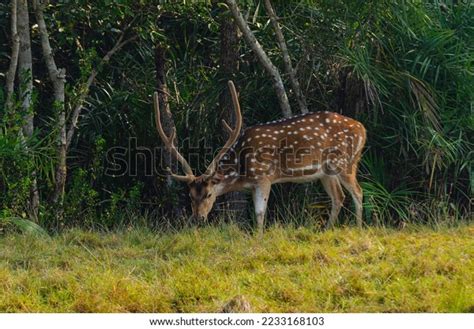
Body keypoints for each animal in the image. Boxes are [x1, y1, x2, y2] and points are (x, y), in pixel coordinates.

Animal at [155, 80, 366, 232]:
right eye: (190, 196)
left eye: (208, 194)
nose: (198, 218)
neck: (242, 171)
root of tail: (363, 129)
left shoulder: (264, 177)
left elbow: (259, 213)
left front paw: (259, 238)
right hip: (325, 172)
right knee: (338, 196)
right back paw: (326, 229)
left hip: (345, 162)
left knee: (358, 191)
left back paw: (358, 228)